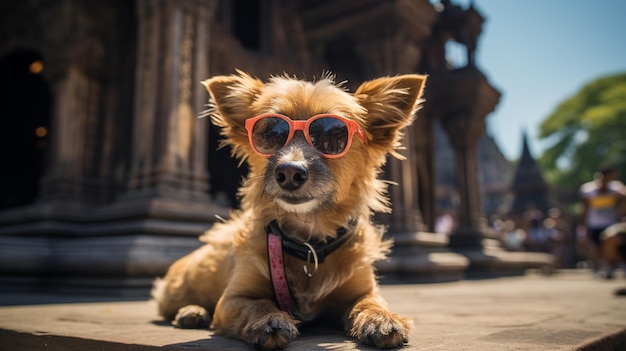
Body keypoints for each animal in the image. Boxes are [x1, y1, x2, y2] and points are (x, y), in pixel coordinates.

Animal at [151, 70, 424, 350]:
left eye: (333, 135)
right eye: (270, 133)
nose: (290, 172)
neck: (308, 242)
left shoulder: (363, 291)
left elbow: (370, 303)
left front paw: (382, 319)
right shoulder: (232, 299)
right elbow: (258, 304)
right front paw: (269, 320)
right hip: (179, 289)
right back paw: (191, 311)